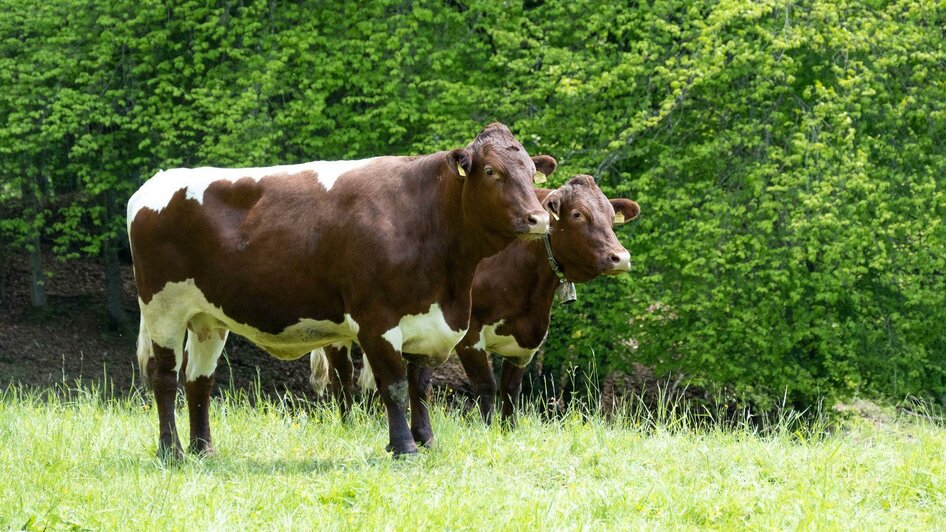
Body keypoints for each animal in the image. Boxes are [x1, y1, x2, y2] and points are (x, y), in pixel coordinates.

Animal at [125, 123, 552, 458]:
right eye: (492, 170)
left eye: (532, 172)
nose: (539, 218)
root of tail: (154, 184)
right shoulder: (376, 321)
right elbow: (394, 386)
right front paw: (404, 448)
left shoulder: (426, 319)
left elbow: (419, 387)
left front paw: (427, 441)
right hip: (163, 307)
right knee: (165, 377)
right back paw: (171, 452)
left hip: (207, 319)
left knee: (200, 380)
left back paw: (203, 449)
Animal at [314, 175, 636, 424]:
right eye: (578, 214)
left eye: (611, 216)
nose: (620, 257)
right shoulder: (470, 336)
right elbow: (486, 386)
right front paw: (488, 430)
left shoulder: (526, 340)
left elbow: (511, 391)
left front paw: (508, 431)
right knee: (342, 378)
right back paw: (349, 425)